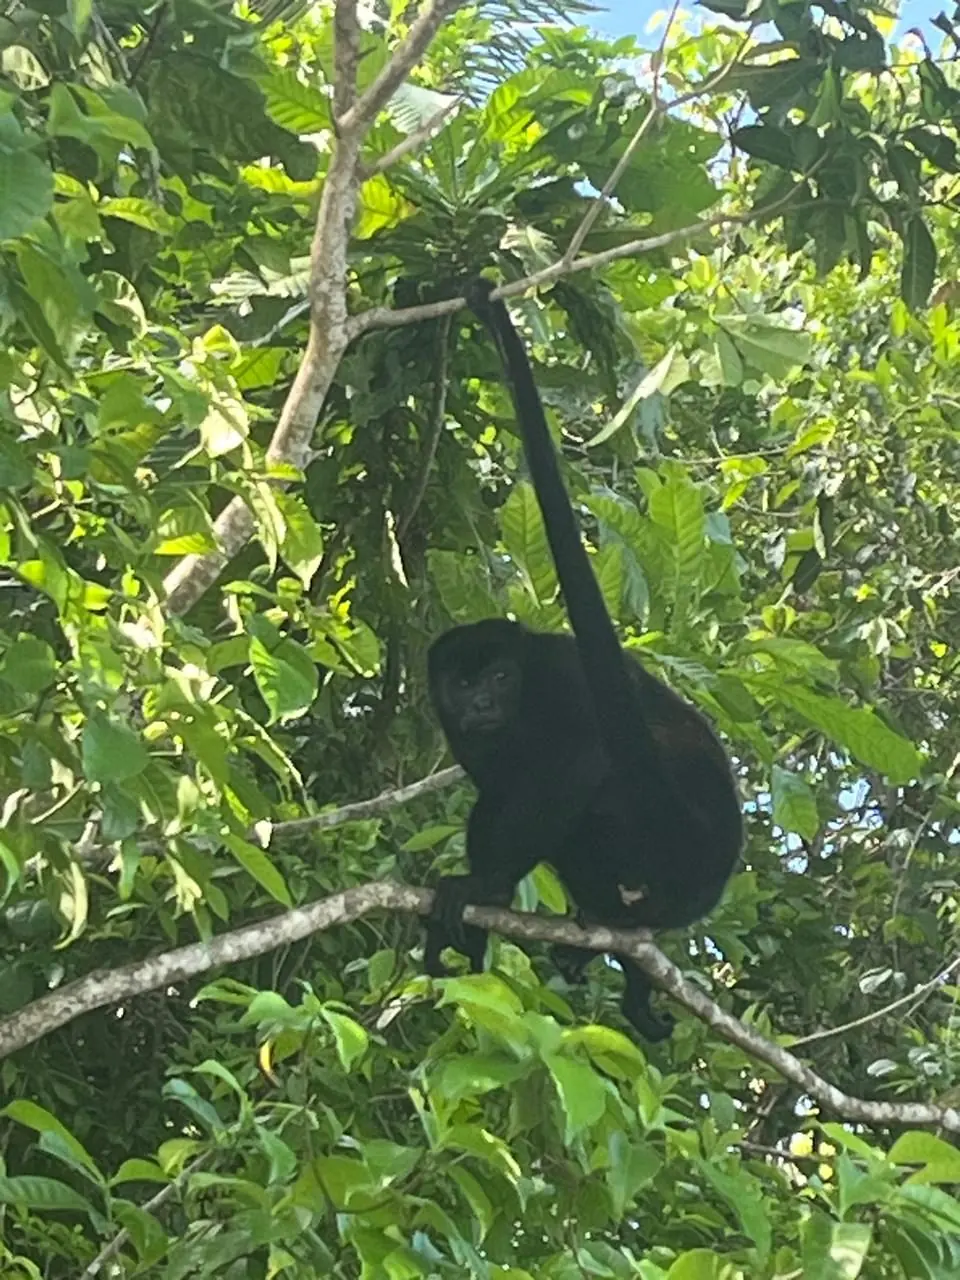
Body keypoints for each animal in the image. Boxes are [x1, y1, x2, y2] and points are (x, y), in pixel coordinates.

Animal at [422, 278, 742, 1041]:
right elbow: (494, 790)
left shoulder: (559, 680)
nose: (485, 703)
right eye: (465, 682)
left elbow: (576, 761)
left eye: (501, 677)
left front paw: (482, 888)